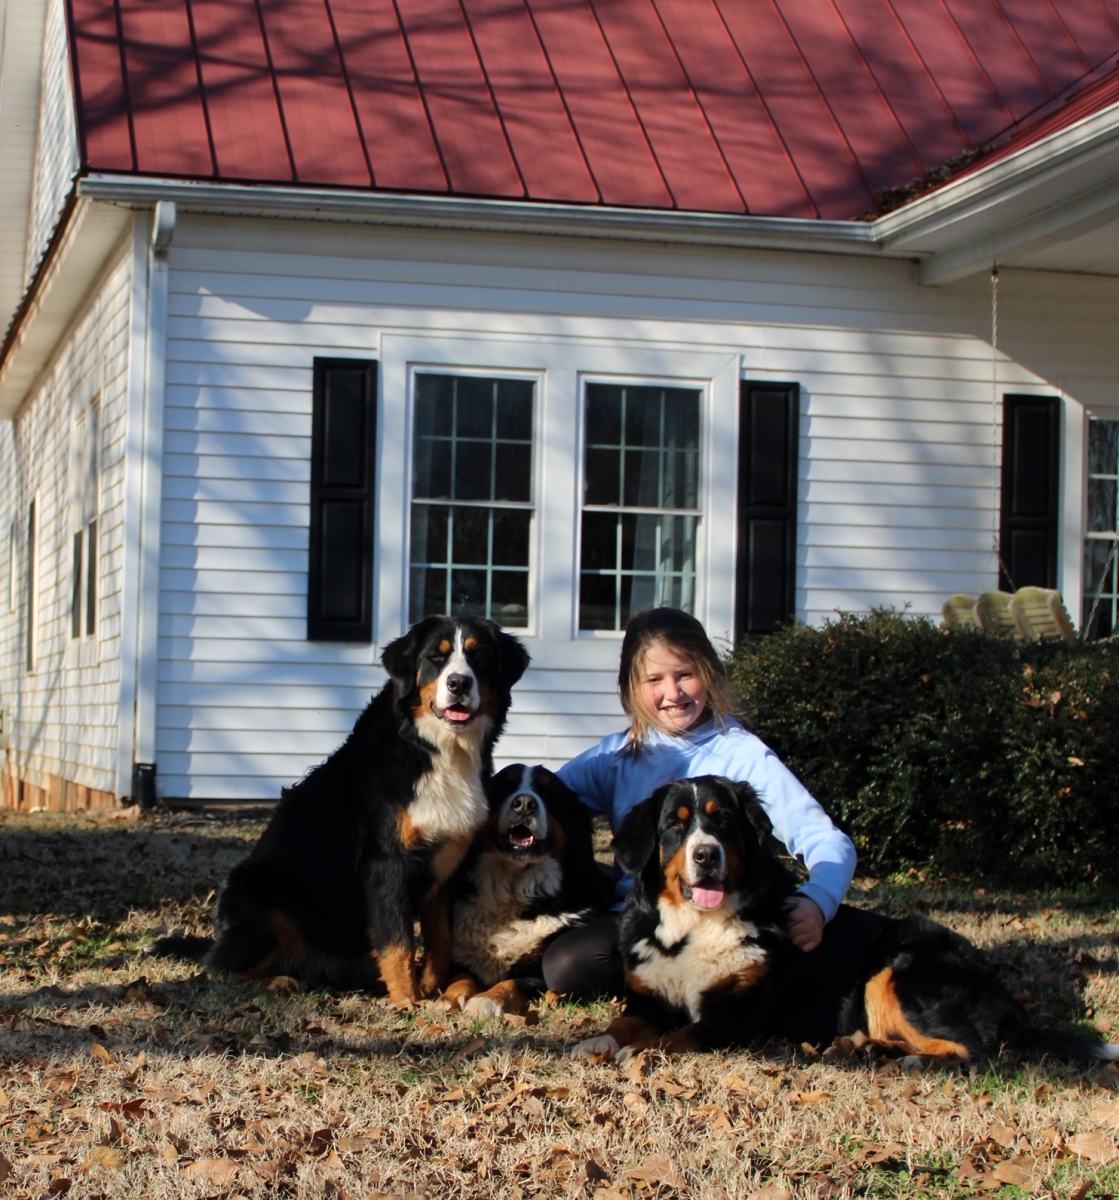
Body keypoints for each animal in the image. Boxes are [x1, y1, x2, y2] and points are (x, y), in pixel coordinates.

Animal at [148, 619, 528, 1003]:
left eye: (479, 656)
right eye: (436, 657)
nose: (459, 683)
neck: (439, 750)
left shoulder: (448, 864)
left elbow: (440, 938)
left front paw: (433, 991)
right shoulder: (386, 863)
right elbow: (399, 942)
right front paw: (408, 1000)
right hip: (266, 893)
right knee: (223, 968)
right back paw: (279, 981)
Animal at [439, 763, 612, 1017]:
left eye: (548, 792)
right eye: (505, 787)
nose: (524, 804)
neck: (513, 887)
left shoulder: (538, 971)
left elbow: (511, 983)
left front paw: (486, 1000)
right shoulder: (461, 957)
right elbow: (460, 977)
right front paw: (449, 997)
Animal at [571, 772, 1114, 1065]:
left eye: (721, 819)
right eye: (675, 825)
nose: (705, 855)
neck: (695, 928)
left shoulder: (737, 1016)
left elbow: (678, 1037)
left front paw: (643, 1054)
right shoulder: (650, 998)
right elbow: (622, 1023)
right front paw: (594, 1042)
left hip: (894, 969)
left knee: (976, 1051)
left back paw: (907, 1060)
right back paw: (868, 1048)